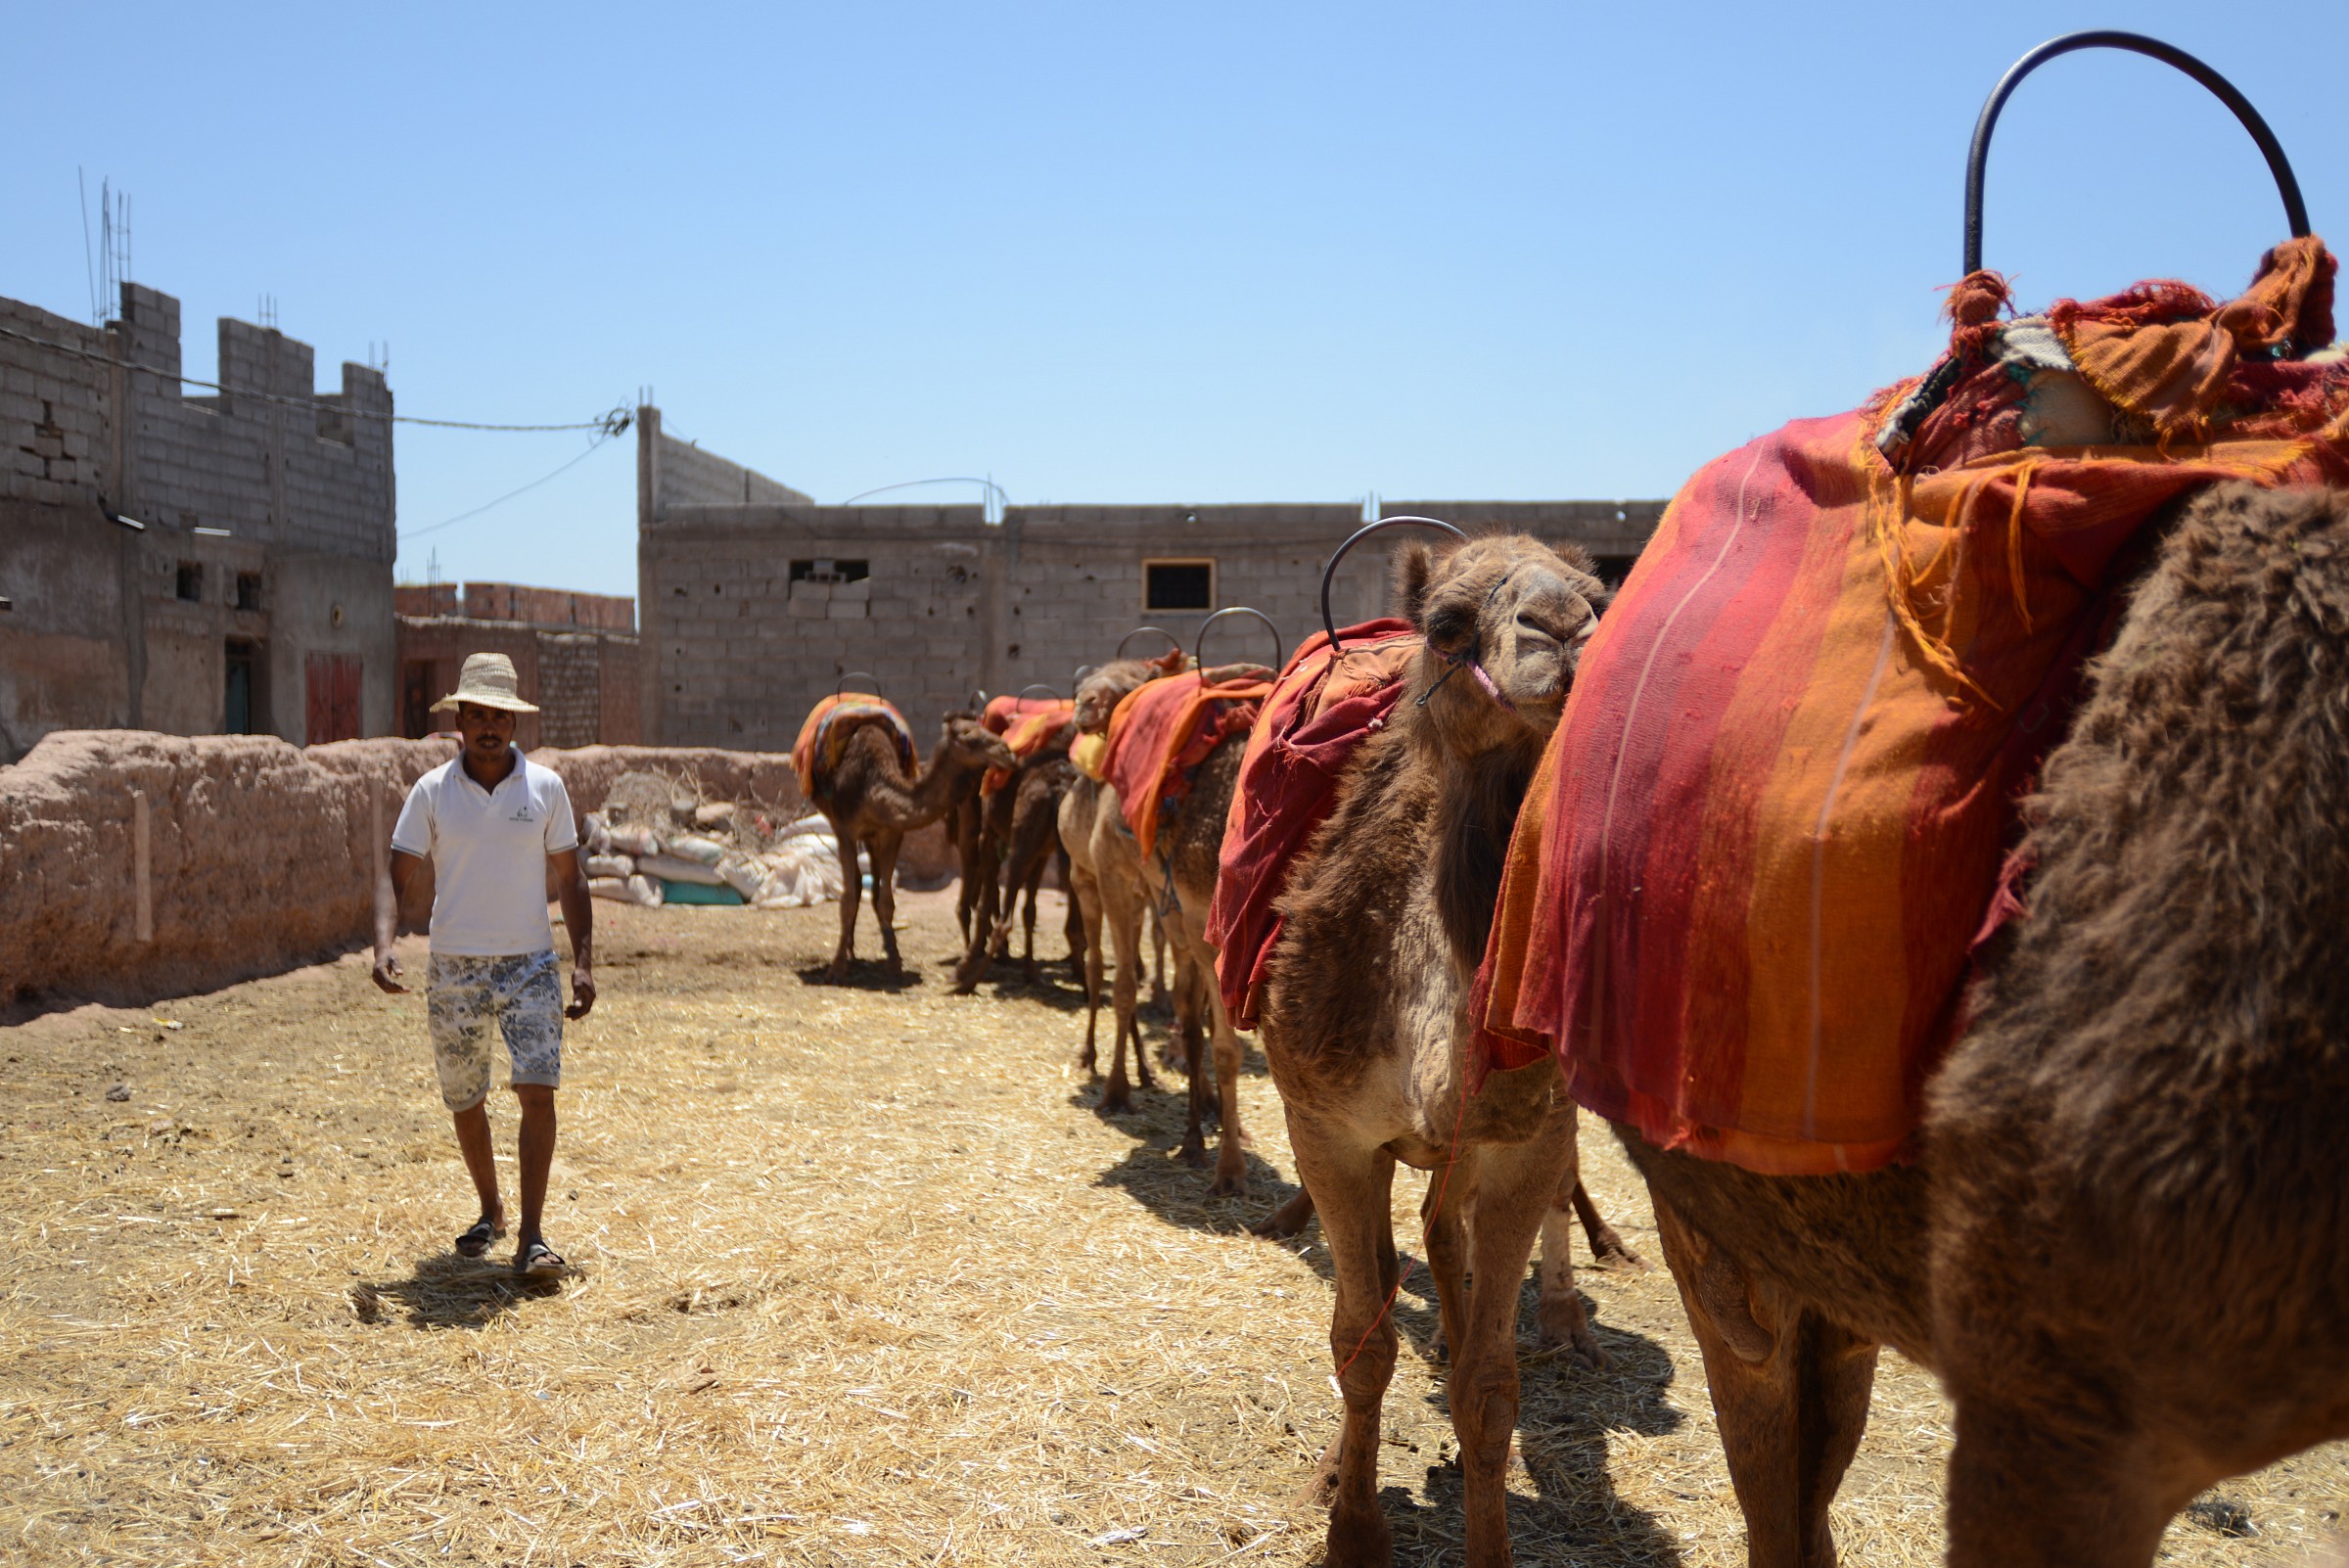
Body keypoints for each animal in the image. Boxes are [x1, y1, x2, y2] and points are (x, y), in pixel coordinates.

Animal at [813, 712, 1017, 983]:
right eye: (968, 735)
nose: (1007, 752)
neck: (873, 786)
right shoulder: (845, 829)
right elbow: (847, 899)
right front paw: (836, 968)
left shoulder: (891, 832)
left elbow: (887, 900)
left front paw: (894, 964)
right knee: (856, 885)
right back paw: (850, 953)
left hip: (873, 838)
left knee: (873, 887)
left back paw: (881, 946)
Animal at [1257, 533, 1610, 1568]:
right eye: (1449, 625)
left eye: (1601, 597)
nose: (1562, 629)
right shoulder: (1326, 1127)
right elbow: (1360, 1342)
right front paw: (1353, 1529)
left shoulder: (1523, 1143)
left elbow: (1492, 1387)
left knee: (1440, 1238)